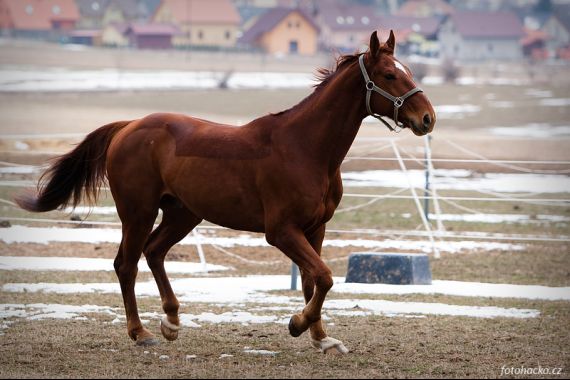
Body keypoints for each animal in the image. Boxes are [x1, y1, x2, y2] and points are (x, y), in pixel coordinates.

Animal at [17, 31, 434, 354]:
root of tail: (129, 126)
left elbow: (314, 280)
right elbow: (325, 276)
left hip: (183, 213)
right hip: (138, 212)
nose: (427, 118)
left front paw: (321, 338)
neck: (305, 148)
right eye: (388, 74)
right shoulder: (281, 232)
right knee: (126, 263)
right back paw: (142, 333)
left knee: (154, 252)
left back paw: (171, 322)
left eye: (408, 71)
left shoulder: (316, 229)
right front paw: (298, 325)